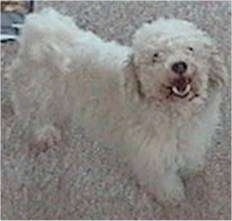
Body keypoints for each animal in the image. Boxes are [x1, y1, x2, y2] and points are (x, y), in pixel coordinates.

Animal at [10, 9, 226, 205]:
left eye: (190, 49)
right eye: (156, 56)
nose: (179, 65)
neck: (176, 110)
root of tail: (39, 26)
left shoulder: (194, 135)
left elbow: (190, 154)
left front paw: (191, 168)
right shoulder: (151, 152)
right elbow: (162, 177)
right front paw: (171, 195)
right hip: (38, 94)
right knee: (31, 113)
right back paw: (44, 134)